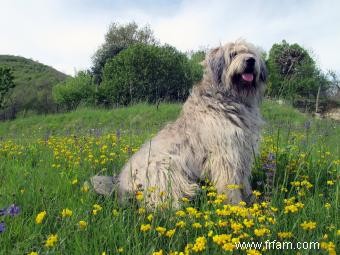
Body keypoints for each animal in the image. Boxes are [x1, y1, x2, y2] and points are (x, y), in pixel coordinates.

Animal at [91, 38, 266, 208]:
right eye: (233, 54)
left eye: (251, 53)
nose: (250, 61)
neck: (229, 99)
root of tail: (120, 187)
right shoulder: (226, 155)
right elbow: (230, 186)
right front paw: (237, 208)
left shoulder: (242, 152)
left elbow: (243, 182)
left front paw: (251, 200)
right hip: (165, 168)